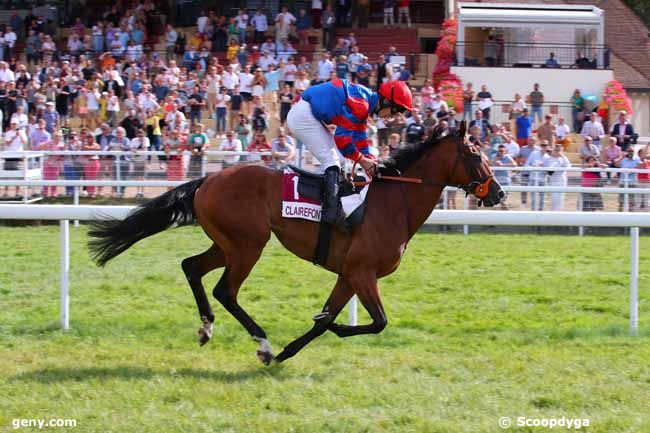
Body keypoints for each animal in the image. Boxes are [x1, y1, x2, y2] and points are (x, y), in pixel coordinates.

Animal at [88, 120, 502, 362]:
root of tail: (209, 179)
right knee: (226, 291)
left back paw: (208, 327)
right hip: (248, 245)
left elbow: (327, 319)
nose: (497, 193)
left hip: (227, 243)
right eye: (476, 153)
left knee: (191, 267)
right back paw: (262, 343)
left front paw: (293, 349)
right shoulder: (362, 272)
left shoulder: (349, 274)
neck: (393, 203)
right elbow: (378, 321)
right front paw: (316, 337)